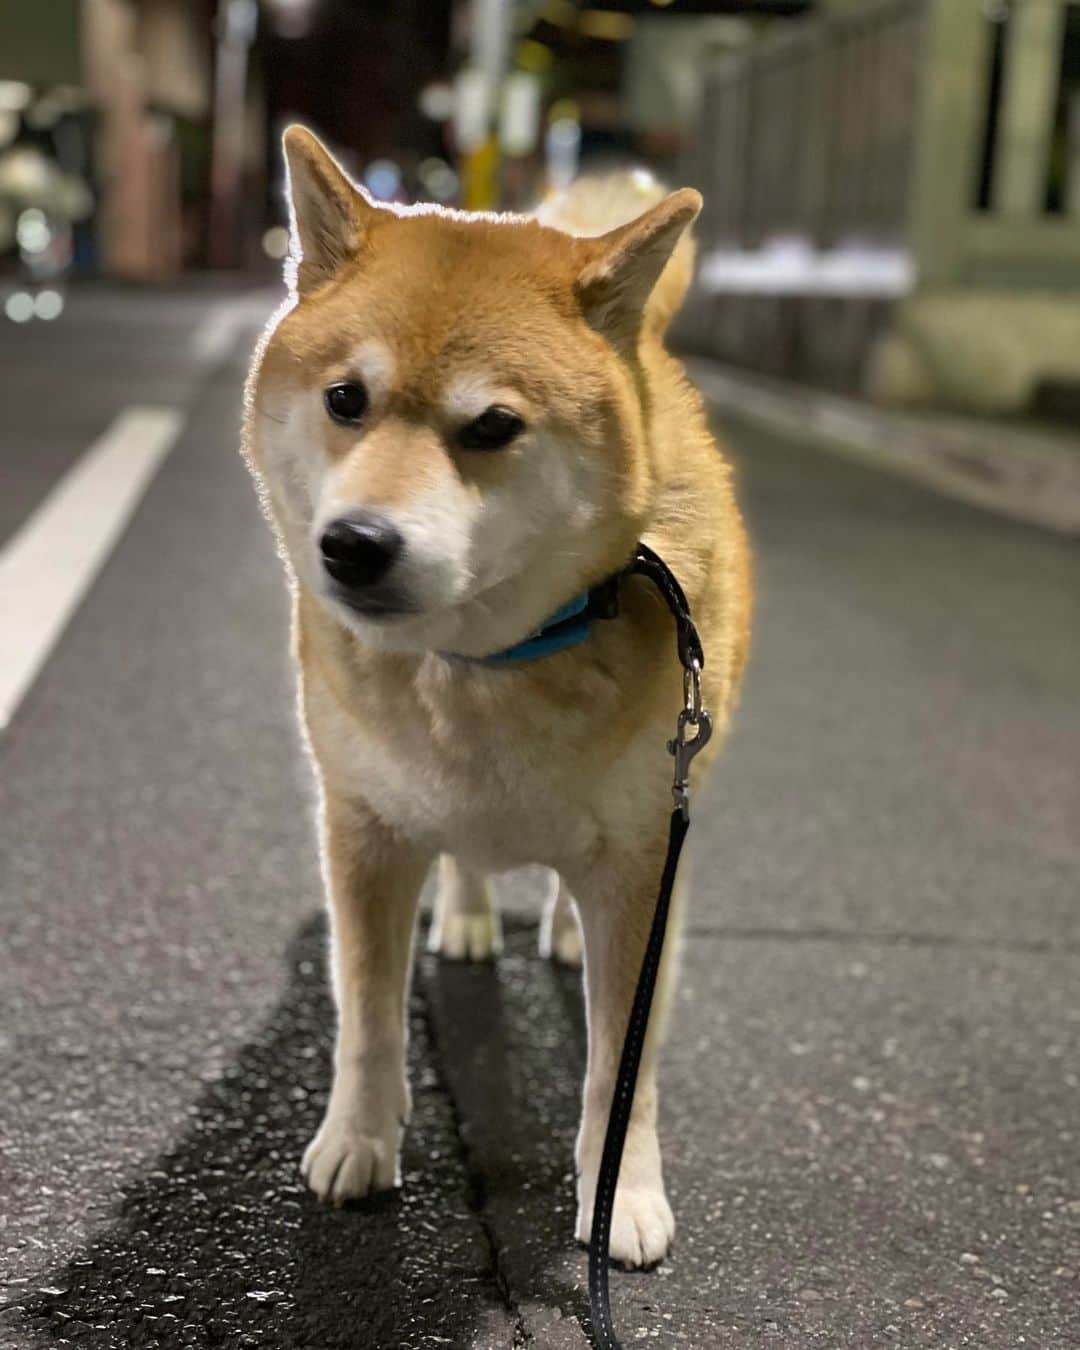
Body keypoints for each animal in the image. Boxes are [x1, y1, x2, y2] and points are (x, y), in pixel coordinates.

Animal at [243, 124, 750, 1263]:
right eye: (346, 400)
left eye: (493, 427)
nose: (354, 544)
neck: (485, 664)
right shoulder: (365, 828)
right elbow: (368, 1015)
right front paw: (359, 1140)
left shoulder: (647, 859)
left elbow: (620, 1072)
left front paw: (622, 1196)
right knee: (465, 856)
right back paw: (470, 915)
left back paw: (554, 930)